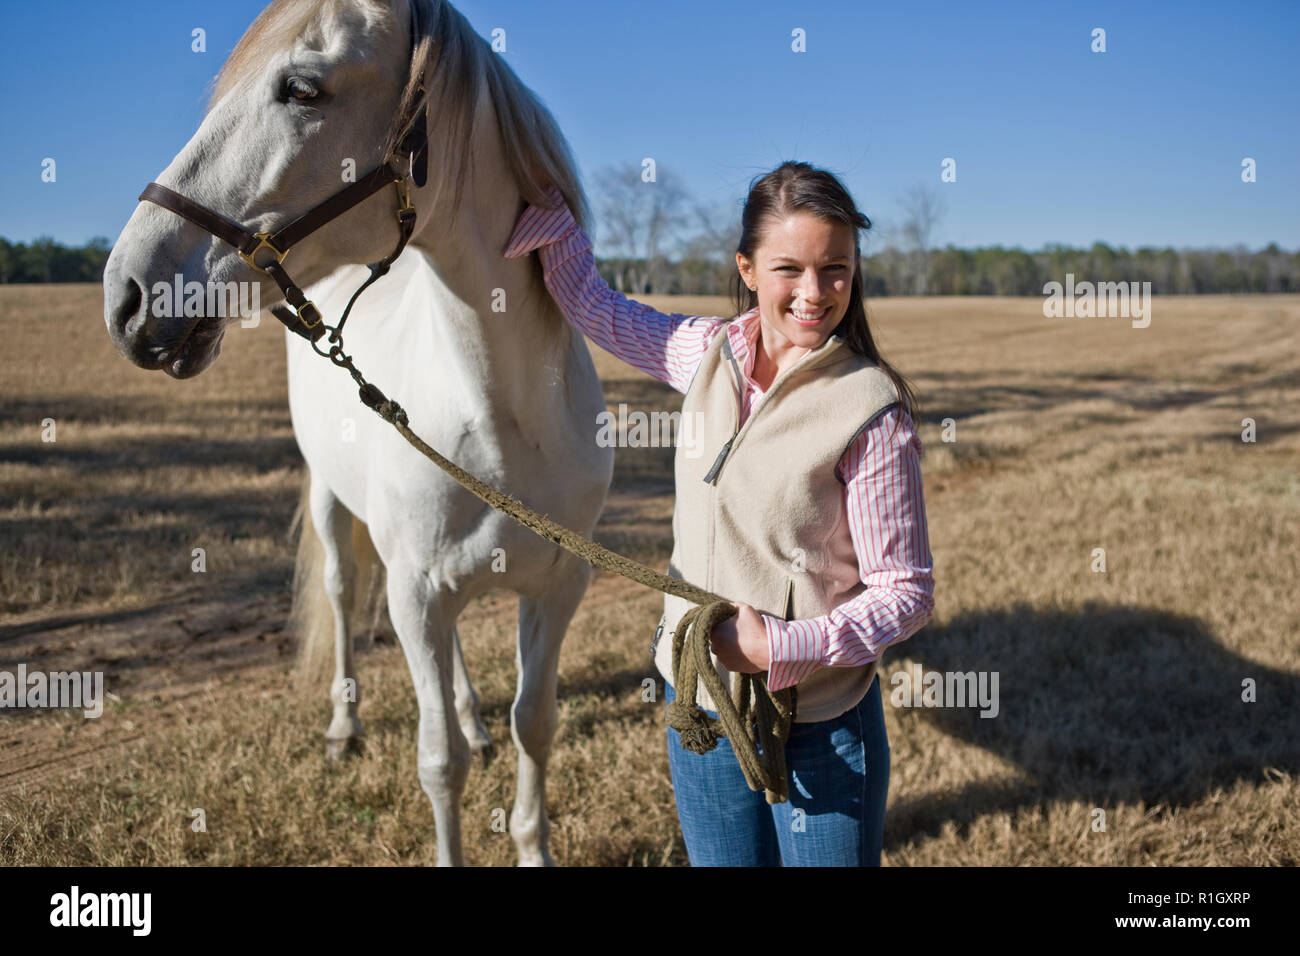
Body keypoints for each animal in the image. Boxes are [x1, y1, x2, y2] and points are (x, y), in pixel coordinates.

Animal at [101, 0, 613, 866]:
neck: (500, 416)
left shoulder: (557, 586)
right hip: (334, 509)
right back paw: (345, 727)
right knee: (343, 596)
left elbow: (534, 727)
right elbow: (438, 763)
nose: (130, 292)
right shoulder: (413, 591)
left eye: (303, 89)